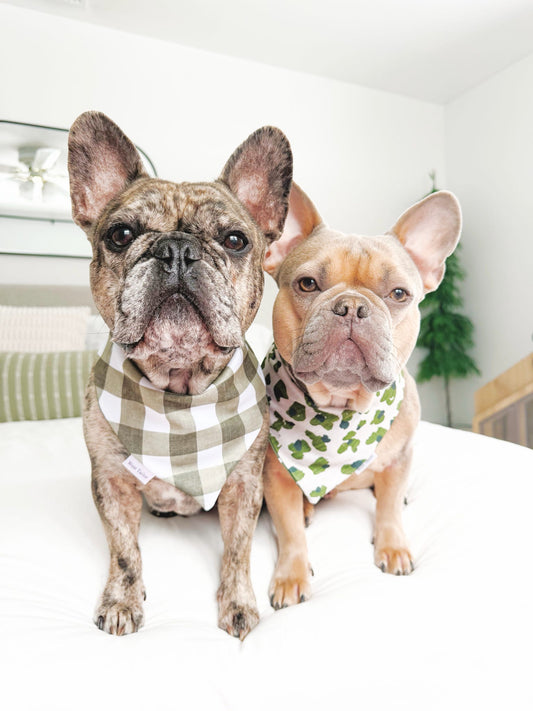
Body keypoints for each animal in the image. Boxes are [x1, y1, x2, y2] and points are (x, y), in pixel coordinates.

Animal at [68, 111, 292, 638]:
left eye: (235, 241)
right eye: (120, 234)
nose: (175, 250)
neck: (179, 391)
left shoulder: (244, 486)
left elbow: (237, 550)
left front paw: (238, 603)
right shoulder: (111, 481)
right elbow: (124, 550)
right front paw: (122, 600)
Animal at [261, 183, 461, 609]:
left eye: (399, 293)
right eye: (307, 284)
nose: (351, 306)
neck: (340, 408)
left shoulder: (400, 458)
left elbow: (388, 508)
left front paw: (393, 547)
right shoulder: (275, 477)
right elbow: (289, 531)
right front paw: (291, 575)